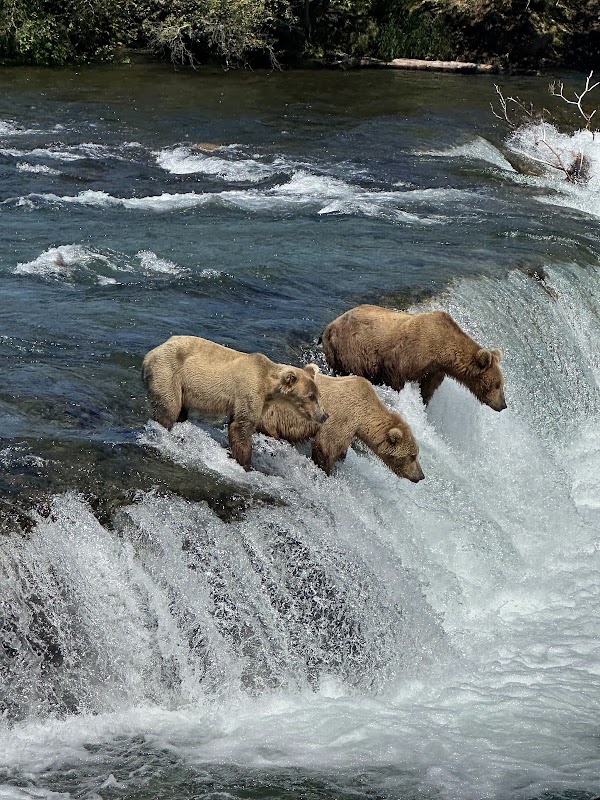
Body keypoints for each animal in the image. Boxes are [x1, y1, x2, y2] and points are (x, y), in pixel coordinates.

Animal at [142, 335, 328, 470]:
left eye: (317, 394)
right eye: (310, 396)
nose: (324, 415)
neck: (269, 387)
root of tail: (149, 355)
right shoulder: (249, 391)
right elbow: (242, 426)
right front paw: (245, 463)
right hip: (169, 373)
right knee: (169, 408)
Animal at [258, 373, 424, 482]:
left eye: (416, 454)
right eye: (412, 456)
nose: (421, 476)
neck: (363, 414)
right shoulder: (341, 417)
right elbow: (326, 446)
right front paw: (326, 470)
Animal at [321, 304, 506, 410]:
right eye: (497, 385)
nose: (503, 405)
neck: (440, 351)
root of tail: (330, 326)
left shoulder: (434, 370)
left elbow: (427, 389)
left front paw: (423, 403)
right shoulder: (407, 355)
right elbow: (396, 377)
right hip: (349, 350)